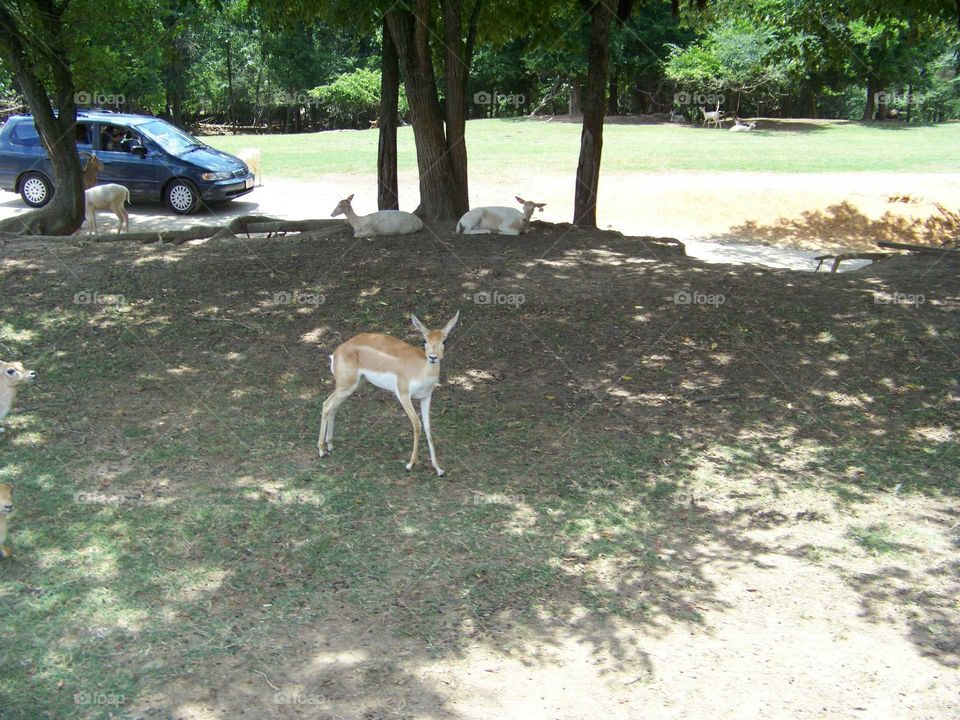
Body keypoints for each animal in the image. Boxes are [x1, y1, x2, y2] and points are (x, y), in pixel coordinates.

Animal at [317, 311, 460, 477]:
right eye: (424, 339)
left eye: (445, 340)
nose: (432, 357)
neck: (421, 370)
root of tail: (337, 352)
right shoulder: (403, 395)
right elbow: (417, 424)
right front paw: (410, 464)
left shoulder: (426, 397)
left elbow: (428, 428)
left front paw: (438, 468)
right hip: (346, 386)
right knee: (326, 405)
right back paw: (321, 450)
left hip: (352, 386)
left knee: (333, 407)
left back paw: (330, 445)